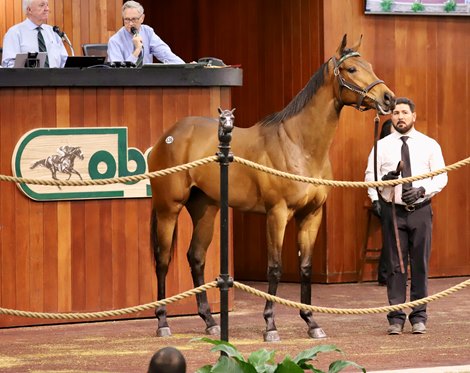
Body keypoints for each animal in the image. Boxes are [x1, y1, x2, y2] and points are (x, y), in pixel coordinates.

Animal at [149, 35, 394, 340]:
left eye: (369, 65)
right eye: (351, 69)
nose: (388, 98)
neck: (300, 145)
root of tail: (169, 135)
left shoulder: (311, 215)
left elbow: (305, 267)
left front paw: (312, 322)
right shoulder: (277, 214)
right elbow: (275, 268)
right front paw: (270, 325)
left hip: (205, 209)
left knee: (195, 257)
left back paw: (210, 321)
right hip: (168, 209)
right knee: (162, 260)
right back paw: (163, 322)